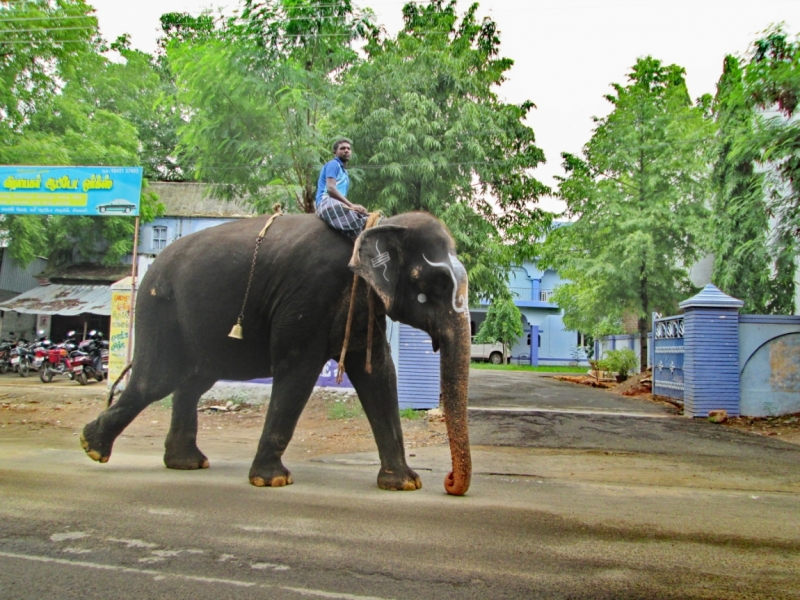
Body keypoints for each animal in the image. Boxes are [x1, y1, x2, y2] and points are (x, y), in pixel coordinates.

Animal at [80, 213, 468, 494]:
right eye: (433, 285)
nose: (449, 482)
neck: (375, 225)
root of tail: (148, 270)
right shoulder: (308, 294)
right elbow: (298, 370)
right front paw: (273, 480)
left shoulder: (362, 307)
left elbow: (380, 375)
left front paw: (405, 483)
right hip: (160, 309)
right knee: (157, 380)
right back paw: (92, 447)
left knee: (192, 382)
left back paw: (185, 462)